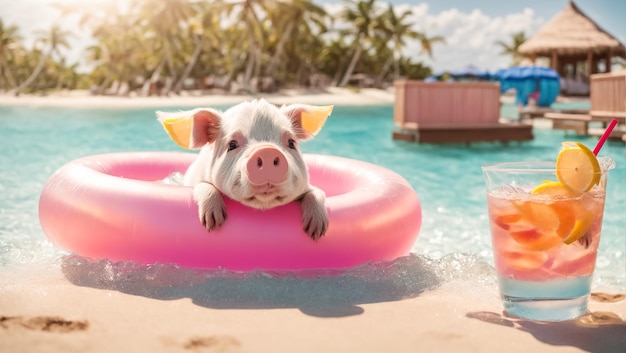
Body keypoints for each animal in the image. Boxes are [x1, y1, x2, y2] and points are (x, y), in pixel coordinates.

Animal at [157, 99, 326, 239]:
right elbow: (204, 185)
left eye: (291, 143)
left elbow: (317, 192)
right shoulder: (196, 181)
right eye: (232, 144)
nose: (267, 150)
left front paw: (317, 232)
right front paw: (213, 223)